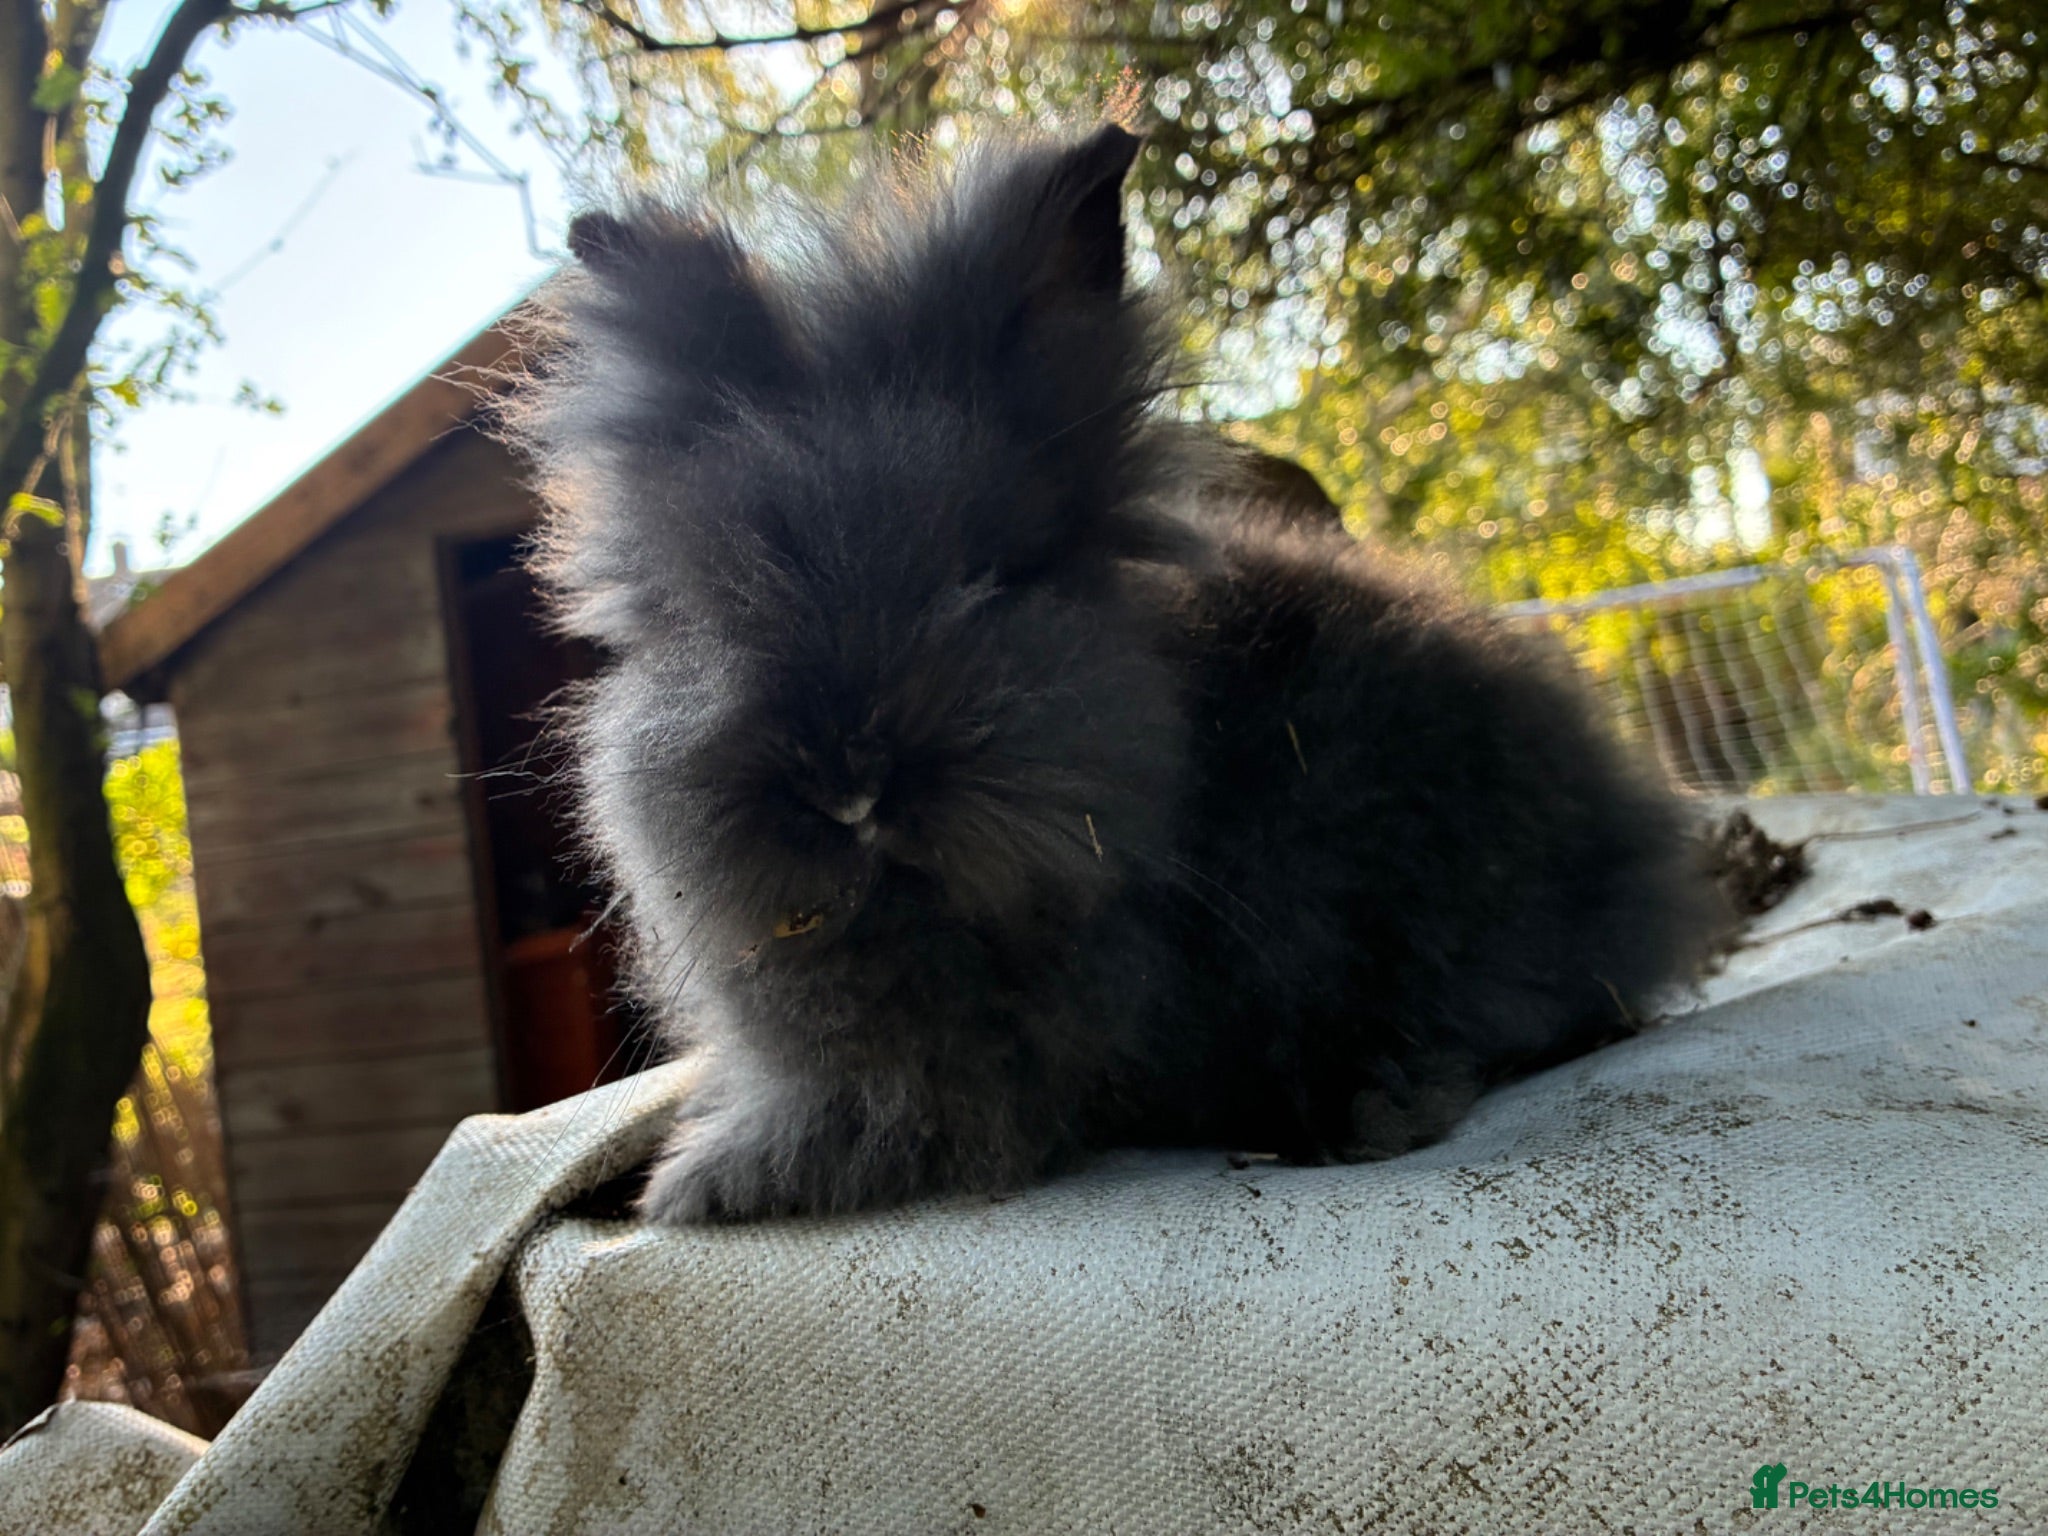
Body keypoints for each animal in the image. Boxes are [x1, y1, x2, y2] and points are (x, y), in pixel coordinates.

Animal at [503, 124, 1720, 1224]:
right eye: (708, 614)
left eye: (987, 573)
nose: (848, 787)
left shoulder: (980, 1072)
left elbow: (878, 1118)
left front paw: (698, 1188)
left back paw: (1361, 1110)